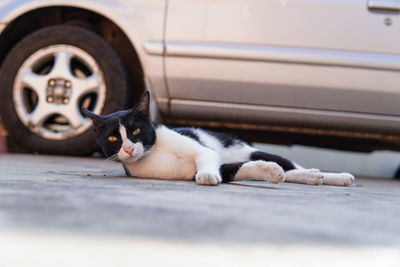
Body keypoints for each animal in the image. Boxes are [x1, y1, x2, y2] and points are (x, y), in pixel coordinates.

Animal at [83, 91, 354, 187]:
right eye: (114, 138)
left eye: (136, 132)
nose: (129, 149)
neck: (155, 153)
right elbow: (237, 170)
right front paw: (270, 172)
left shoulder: (203, 150)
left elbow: (207, 157)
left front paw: (206, 174)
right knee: (289, 170)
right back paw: (310, 176)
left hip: (251, 148)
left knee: (290, 164)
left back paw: (333, 176)